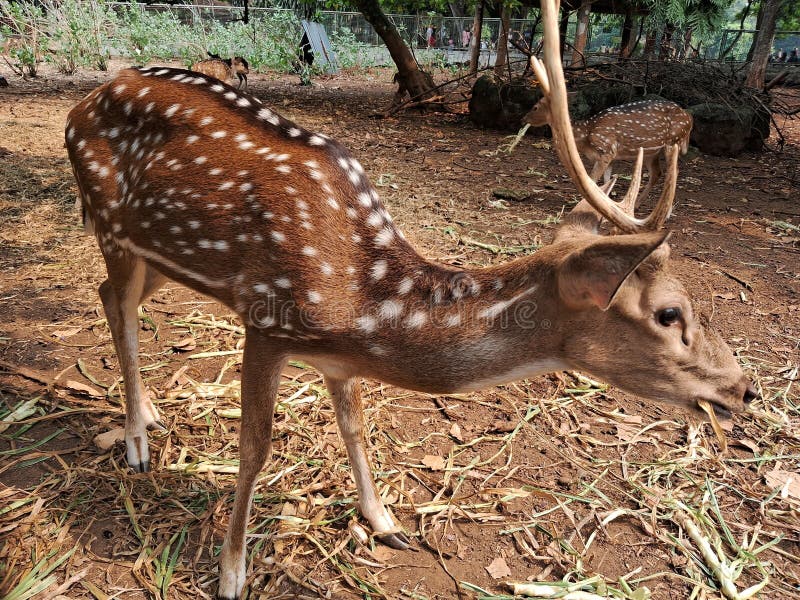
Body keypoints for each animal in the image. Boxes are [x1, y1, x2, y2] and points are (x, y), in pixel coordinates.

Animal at [520, 94, 692, 206]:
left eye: (535, 107)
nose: (523, 119)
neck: (585, 135)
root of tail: (689, 118)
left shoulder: (606, 149)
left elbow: (592, 179)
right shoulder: (608, 156)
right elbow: (607, 180)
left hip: (673, 141)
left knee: (674, 171)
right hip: (652, 151)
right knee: (657, 173)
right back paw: (636, 204)